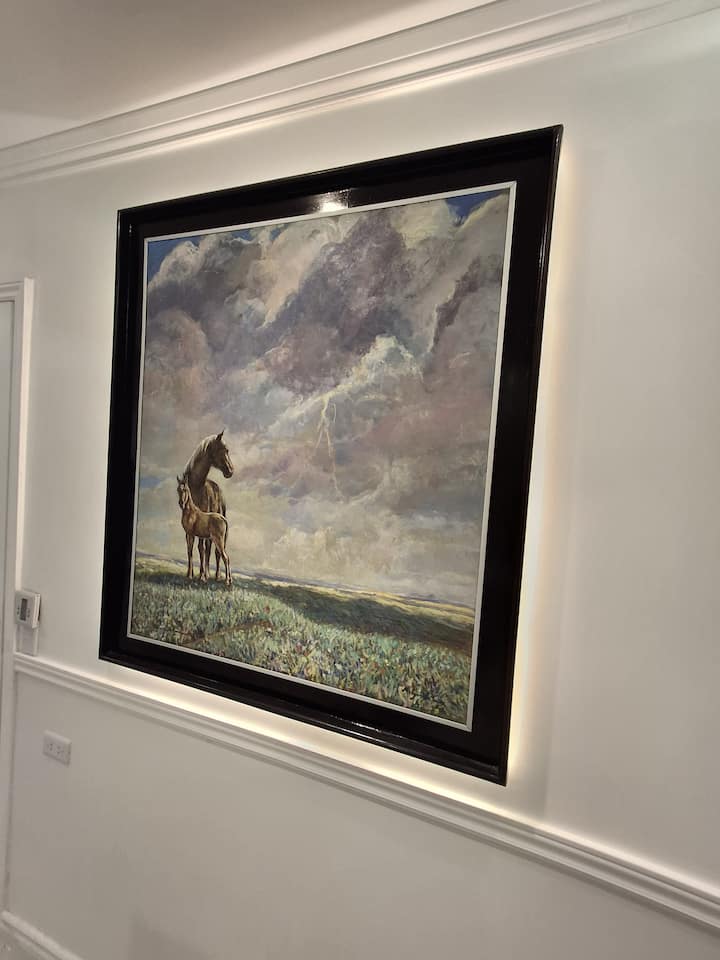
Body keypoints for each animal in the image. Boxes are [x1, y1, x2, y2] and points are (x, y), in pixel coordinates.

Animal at [182, 432, 234, 579]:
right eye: (225, 450)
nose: (231, 471)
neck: (196, 486)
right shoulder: (190, 528)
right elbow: (190, 548)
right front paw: (191, 574)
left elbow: (201, 548)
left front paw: (201, 576)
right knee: (210, 548)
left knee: (216, 551)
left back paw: (215, 576)